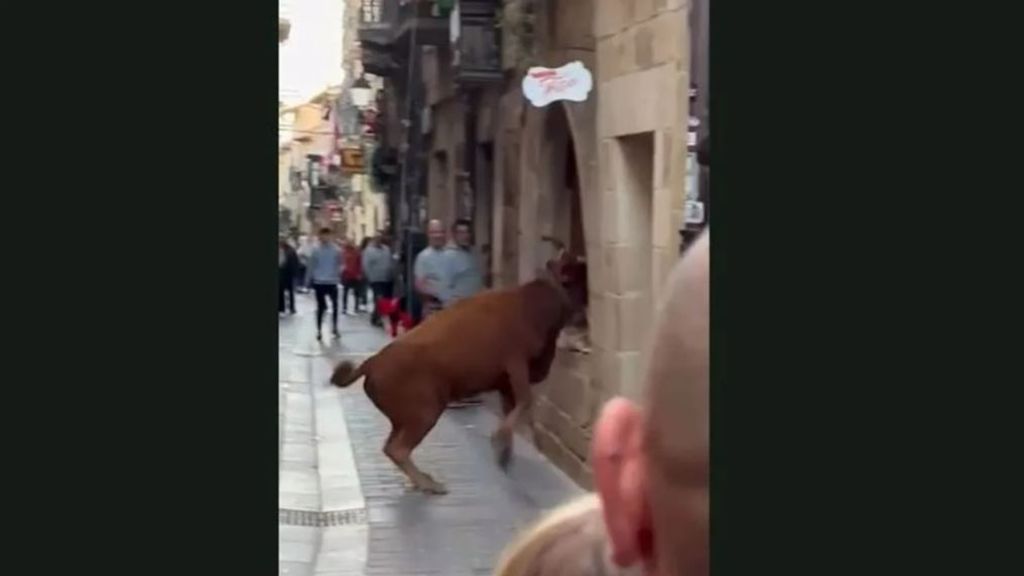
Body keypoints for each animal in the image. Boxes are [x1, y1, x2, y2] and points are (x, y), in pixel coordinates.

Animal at [331, 262, 581, 491]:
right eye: (571, 276)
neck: (530, 304)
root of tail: (371, 363)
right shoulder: (516, 365)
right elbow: (525, 401)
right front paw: (500, 444)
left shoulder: (506, 382)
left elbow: (518, 408)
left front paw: (508, 452)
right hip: (425, 414)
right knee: (398, 449)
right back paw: (431, 485)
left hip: (401, 420)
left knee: (390, 446)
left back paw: (425, 480)